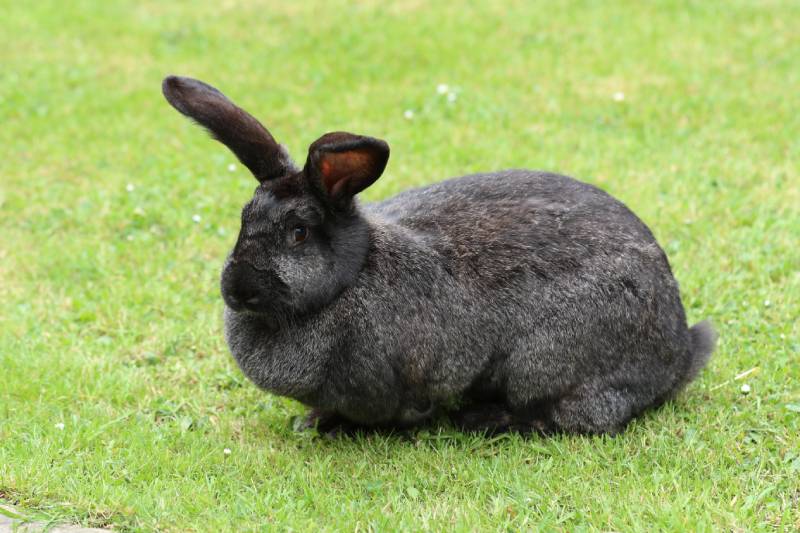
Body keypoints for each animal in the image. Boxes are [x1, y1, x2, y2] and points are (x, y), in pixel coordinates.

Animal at [162, 75, 717, 436]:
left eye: (298, 232)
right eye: (243, 220)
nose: (237, 289)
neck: (352, 276)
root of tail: (678, 352)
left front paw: (333, 427)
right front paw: (313, 421)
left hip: (546, 364)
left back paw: (487, 419)